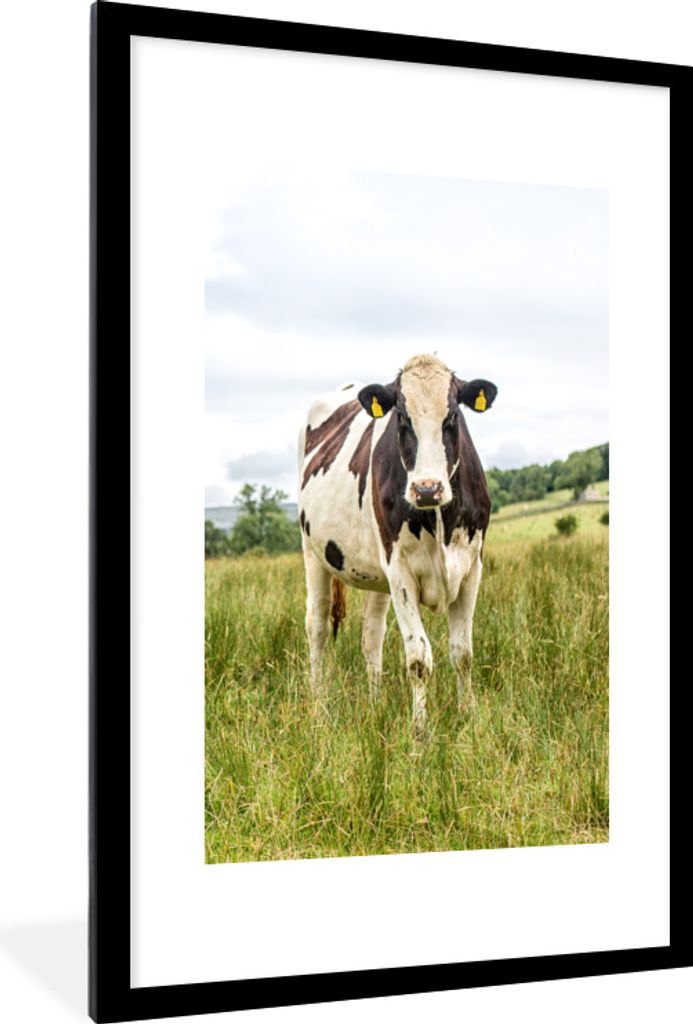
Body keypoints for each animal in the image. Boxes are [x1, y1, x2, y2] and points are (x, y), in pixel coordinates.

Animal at [297, 354, 498, 737]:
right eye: (402, 419)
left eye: (453, 415)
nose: (427, 489)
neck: (438, 517)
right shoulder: (400, 570)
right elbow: (419, 658)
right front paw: (420, 733)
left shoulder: (471, 567)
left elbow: (463, 653)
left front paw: (470, 717)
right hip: (313, 552)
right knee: (316, 627)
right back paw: (318, 708)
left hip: (378, 575)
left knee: (371, 633)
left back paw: (374, 702)